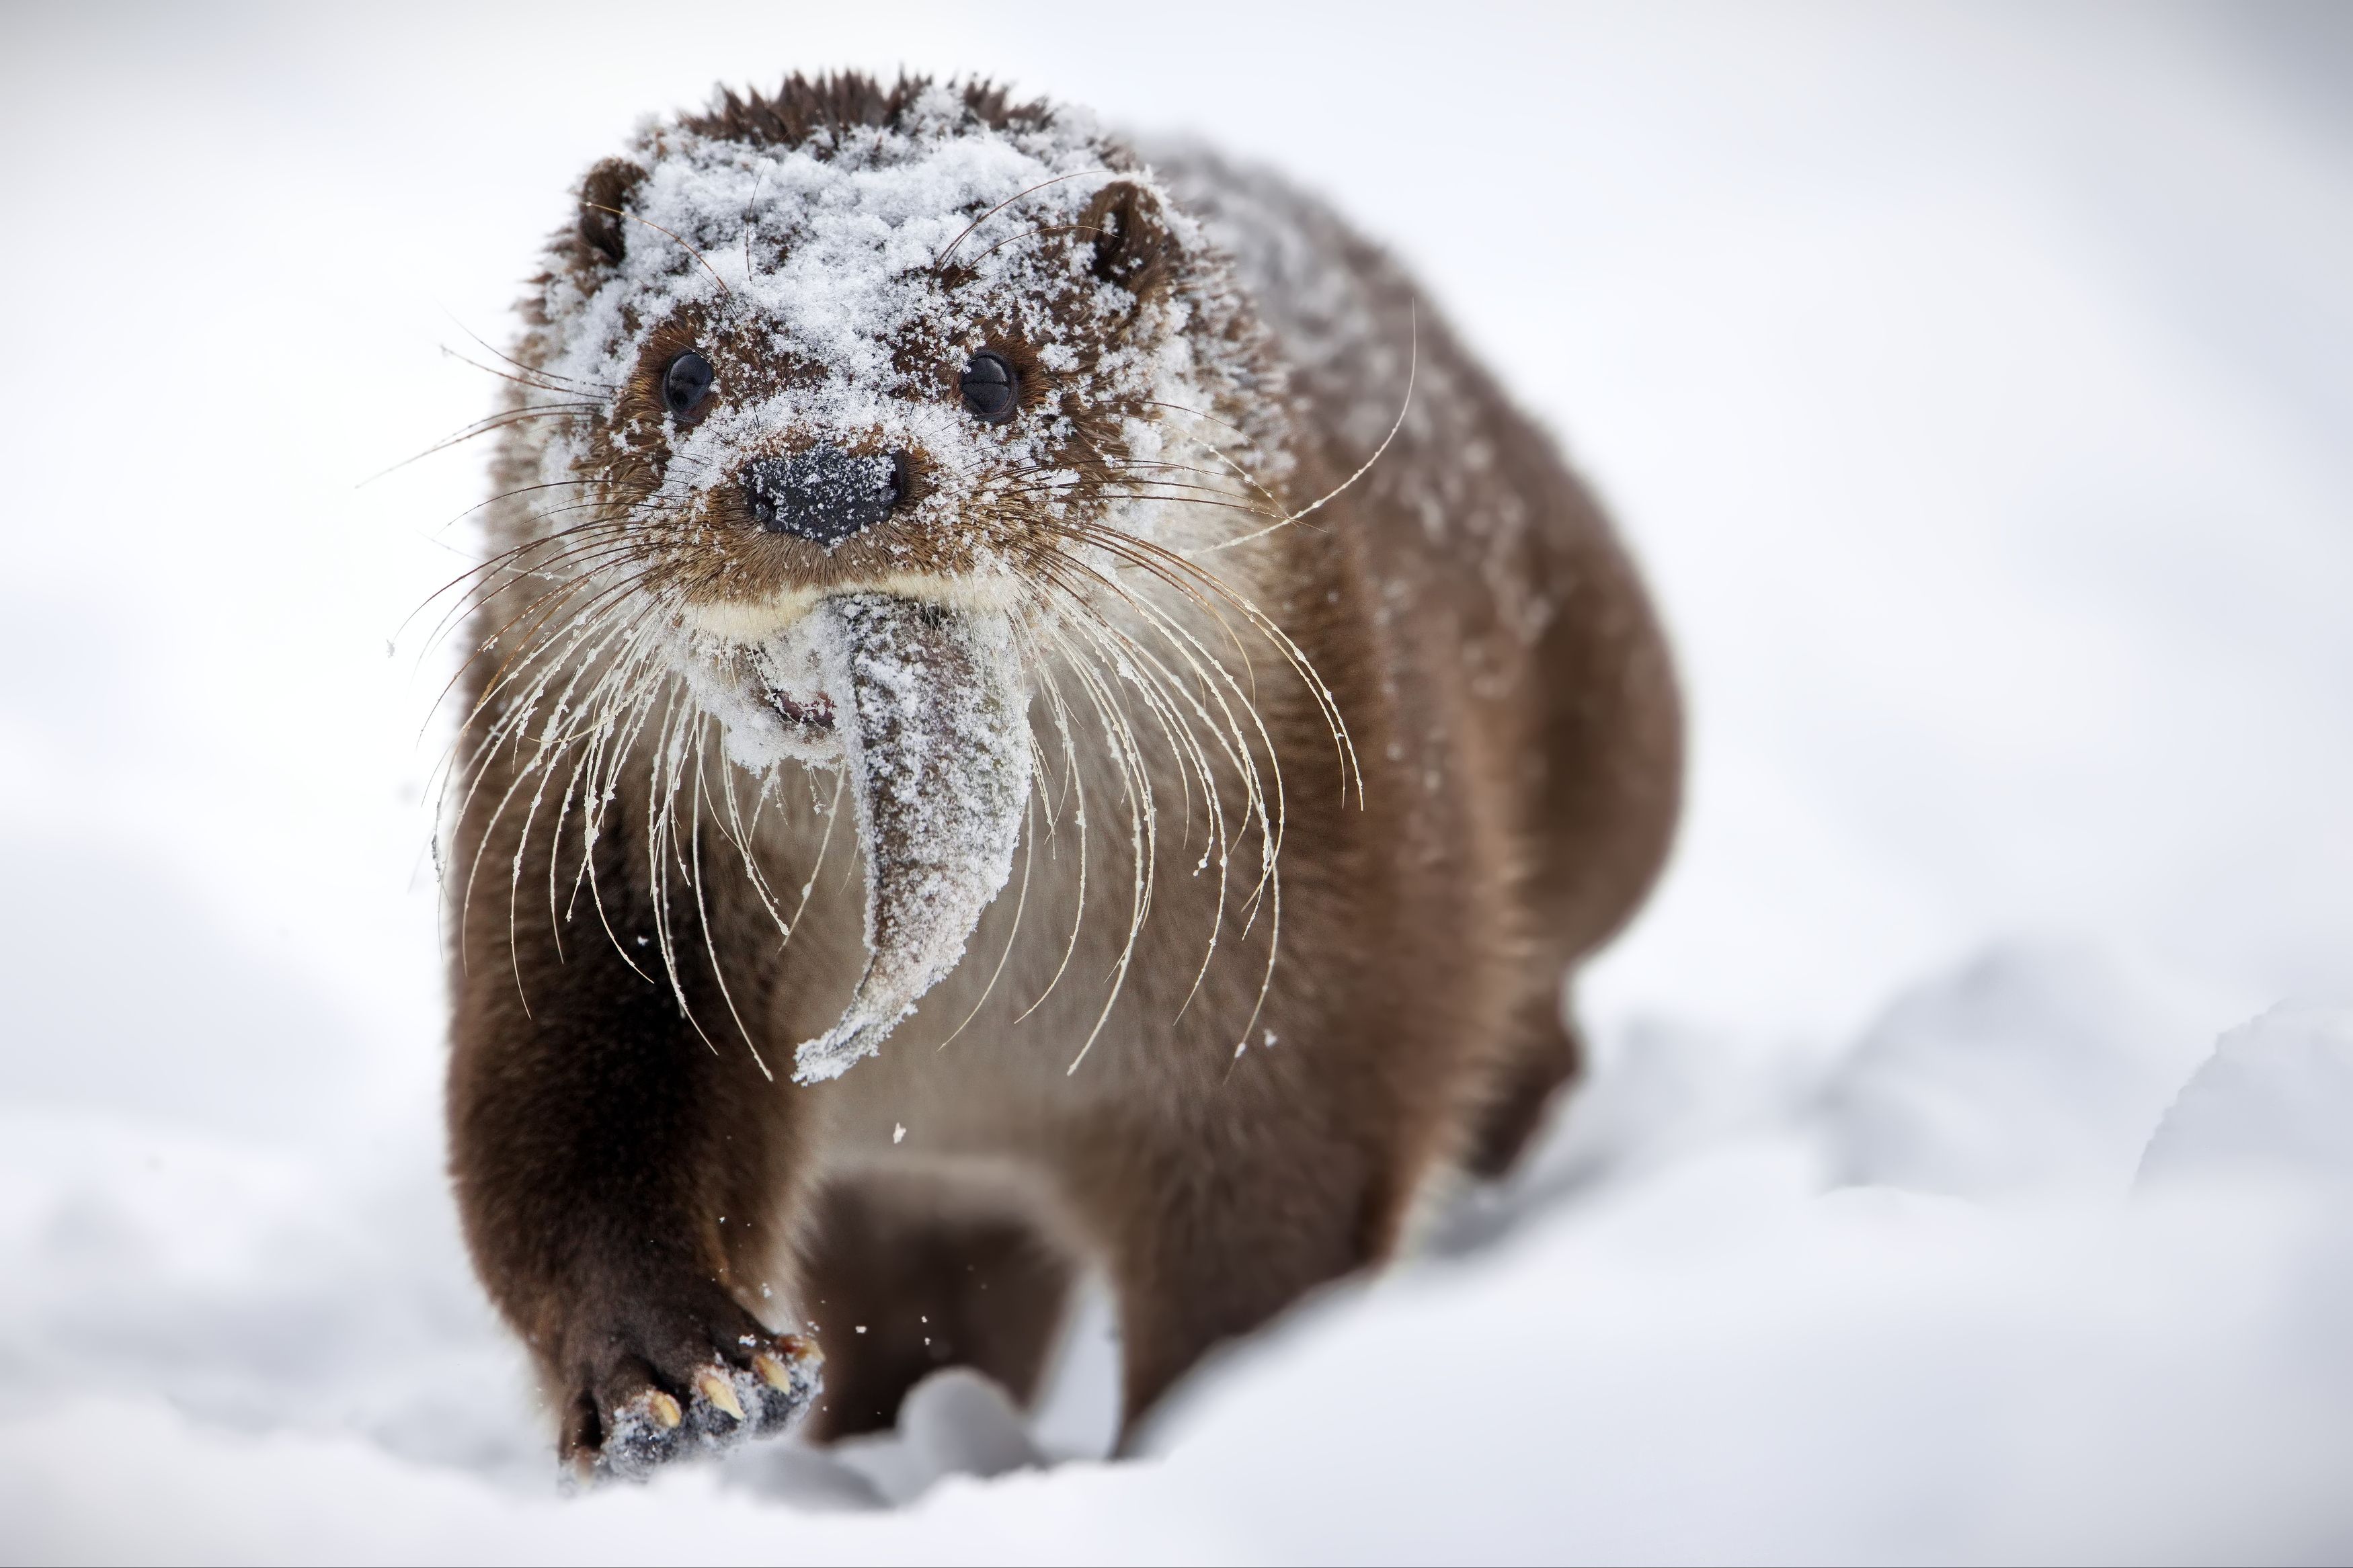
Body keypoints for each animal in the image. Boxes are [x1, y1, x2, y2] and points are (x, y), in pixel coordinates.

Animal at [442, 73, 1685, 1476]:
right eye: (683, 371)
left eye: (994, 371)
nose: (823, 476)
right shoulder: (598, 871)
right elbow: (561, 1139)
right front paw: (678, 1370)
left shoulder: (1318, 964)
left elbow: (1277, 1244)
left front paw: (1205, 1439)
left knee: (1536, 1005)